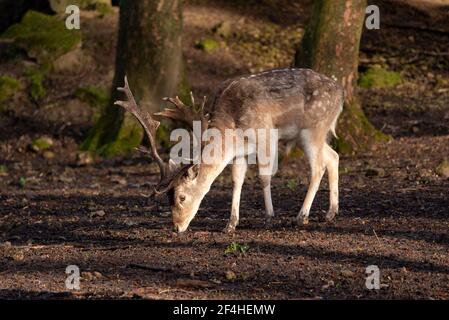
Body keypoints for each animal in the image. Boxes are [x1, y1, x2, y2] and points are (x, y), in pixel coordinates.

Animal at [115, 67, 344, 232]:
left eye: (181, 197)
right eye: (167, 198)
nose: (176, 227)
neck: (232, 129)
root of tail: (341, 94)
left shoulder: (265, 135)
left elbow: (263, 177)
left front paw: (269, 217)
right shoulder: (240, 152)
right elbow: (236, 180)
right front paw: (231, 224)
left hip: (313, 128)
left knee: (318, 167)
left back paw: (301, 216)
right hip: (313, 133)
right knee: (333, 156)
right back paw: (331, 213)